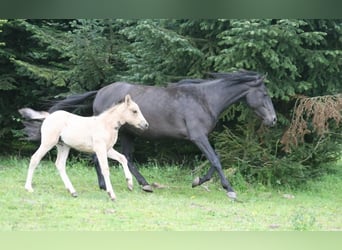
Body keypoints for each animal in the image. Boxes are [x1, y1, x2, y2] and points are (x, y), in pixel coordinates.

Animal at [18, 94, 147, 201]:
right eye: (134, 111)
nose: (145, 125)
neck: (106, 125)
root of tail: (49, 116)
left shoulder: (108, 149)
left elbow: (123, 158)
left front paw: (130, 184)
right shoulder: (100, 149)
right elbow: (105, 169)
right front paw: (111, 194)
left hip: (64, 146)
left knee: (60, 164)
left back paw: (72, 192)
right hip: (48, 142)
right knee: (35, 158)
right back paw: (28, 188)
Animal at [49, 70, 276, 199]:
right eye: (264, 94)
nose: (273, 120)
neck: (204, 99)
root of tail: (100, 92)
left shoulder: (201, 138)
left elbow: (214, 160)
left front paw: (197, 181)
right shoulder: (198, 137)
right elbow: (215, 160)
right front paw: (229, 189)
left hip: (128, 134)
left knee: (125, 158)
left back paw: (142, 185)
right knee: (103, 158)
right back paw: (109, 186)